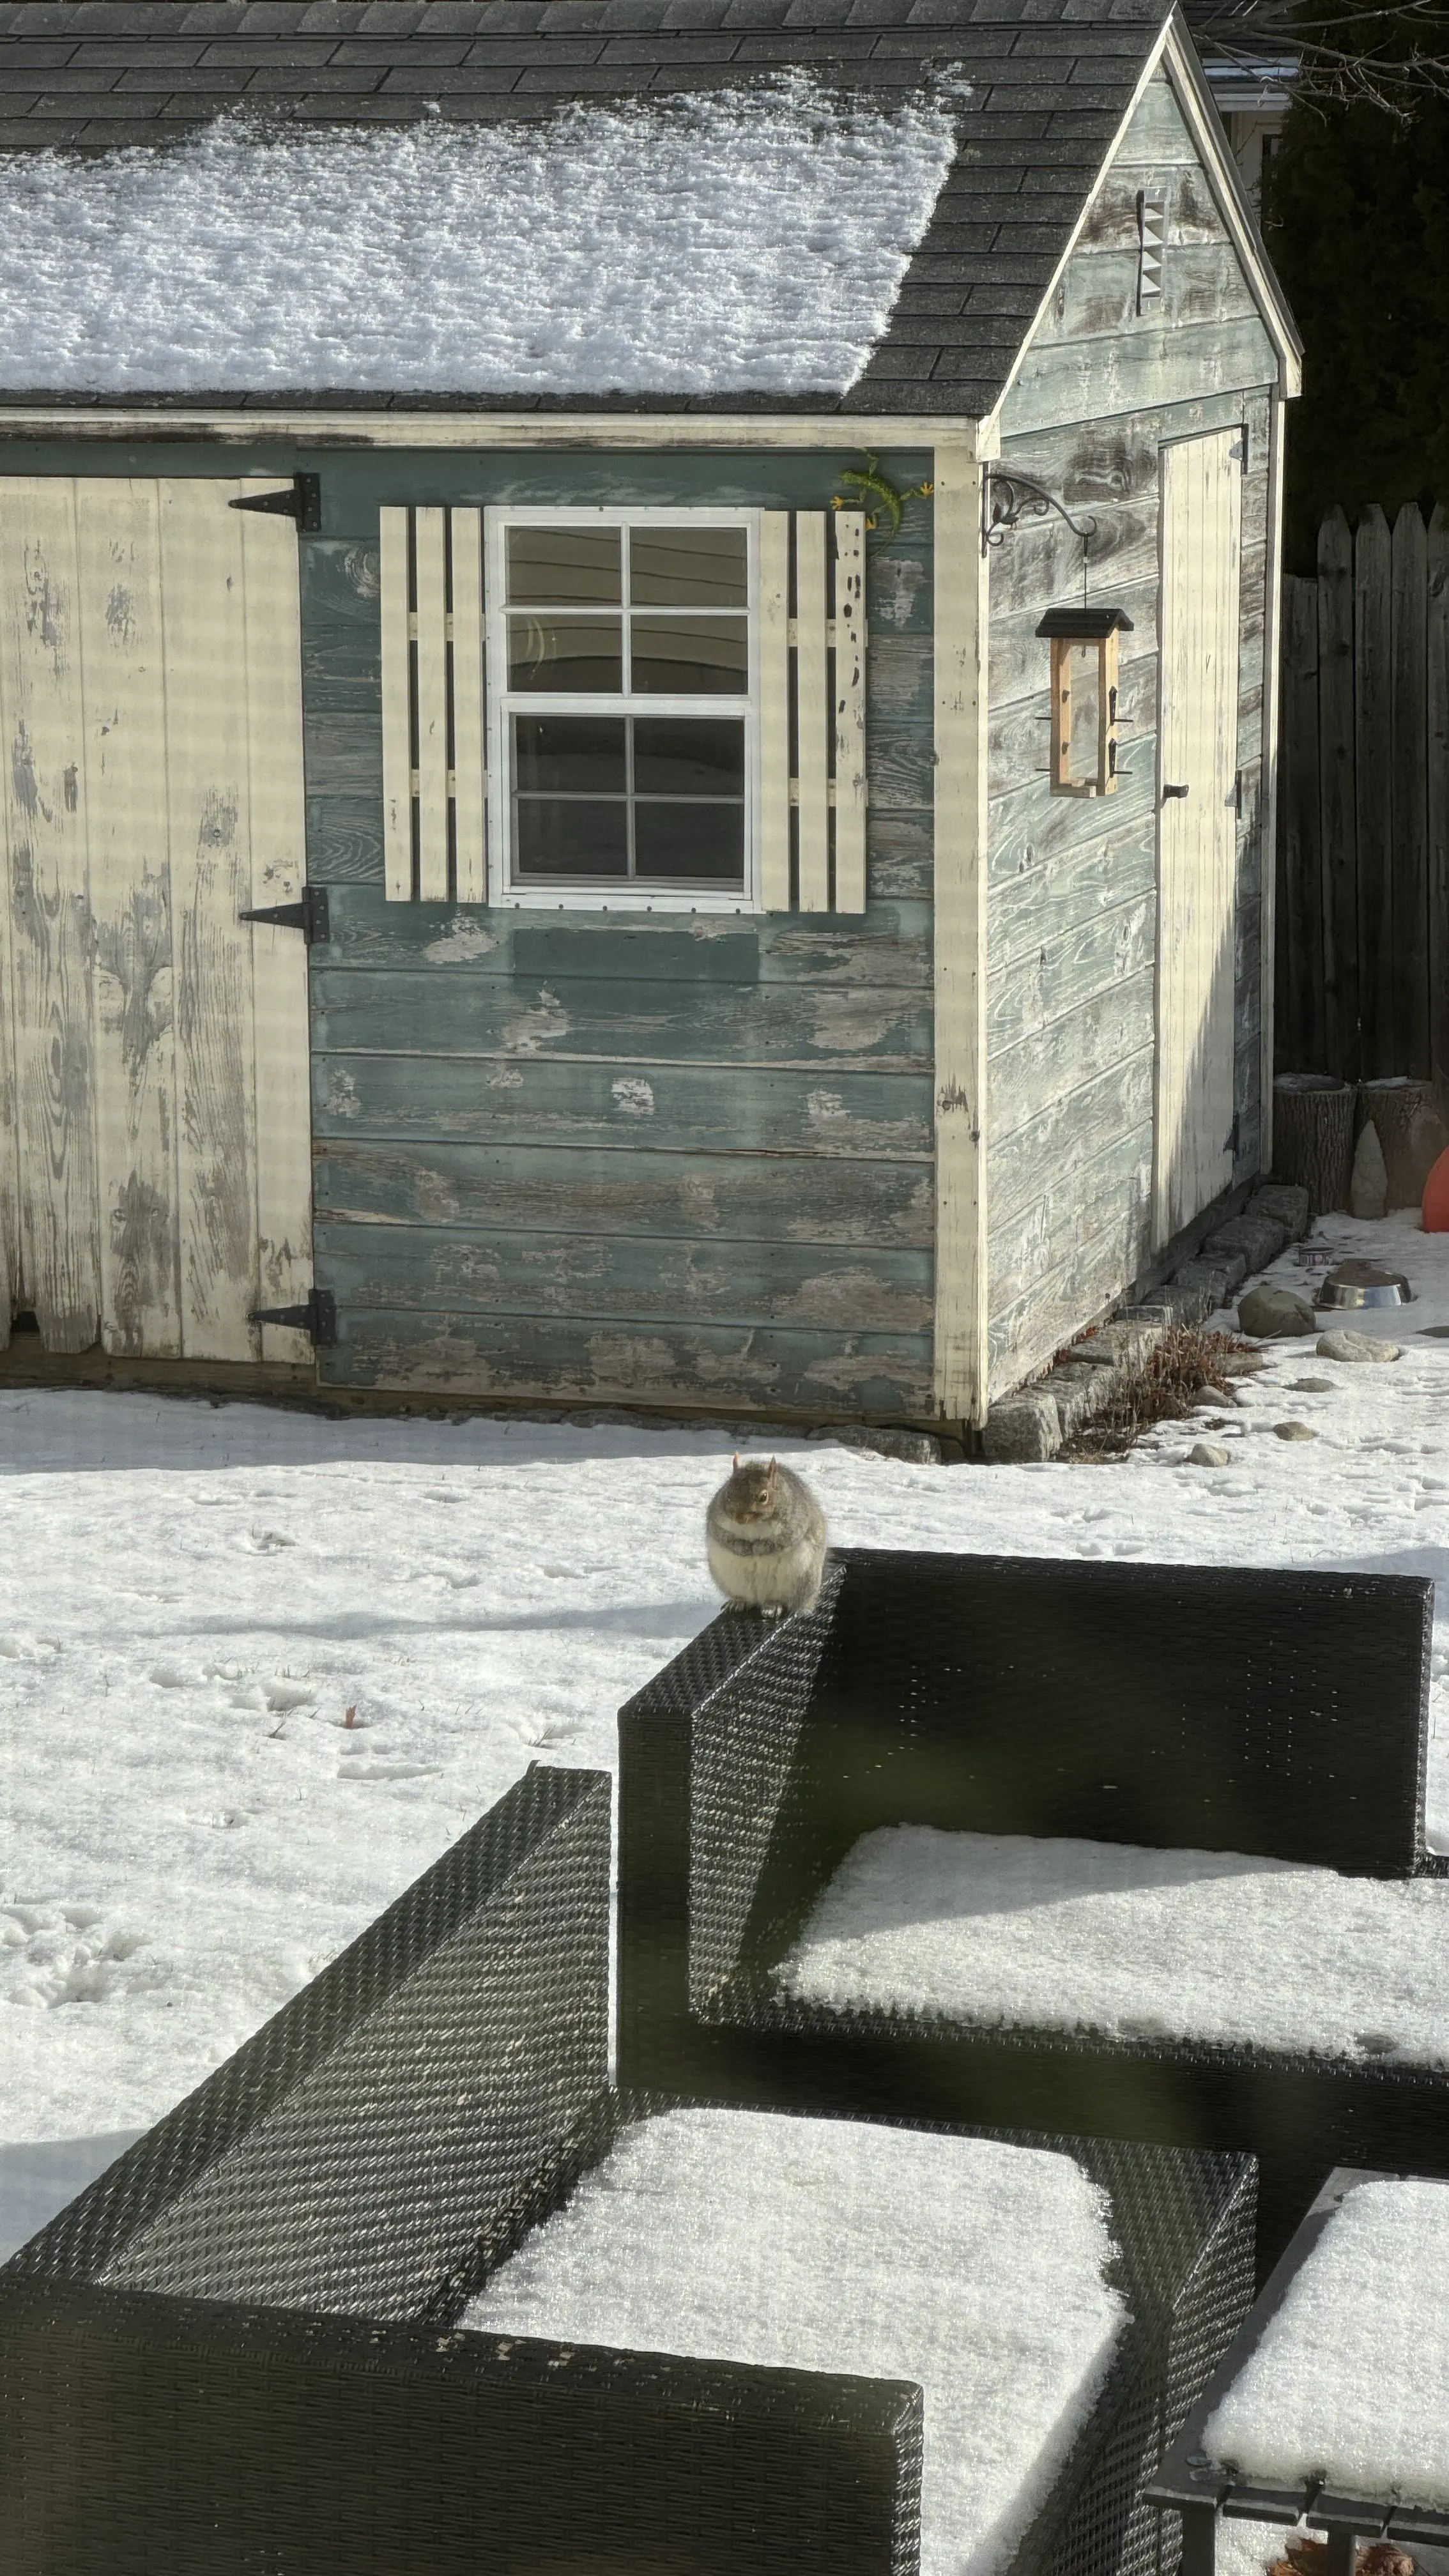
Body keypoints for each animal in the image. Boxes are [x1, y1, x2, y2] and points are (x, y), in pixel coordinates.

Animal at [705, 1454, 828, 1616]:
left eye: (763, 1497)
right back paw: (738, 1602)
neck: (753, 1525)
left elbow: (778, 1542)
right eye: (729, 1494)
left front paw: (759, 1548)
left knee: (779, 1600)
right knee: (745, 1598)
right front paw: (742, 1547)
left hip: (801, 1581)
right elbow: (724, 1538)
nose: (740, 1518)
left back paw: (772, 1606)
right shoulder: (717, 1522)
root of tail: (759, 1600)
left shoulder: (793, 1526)